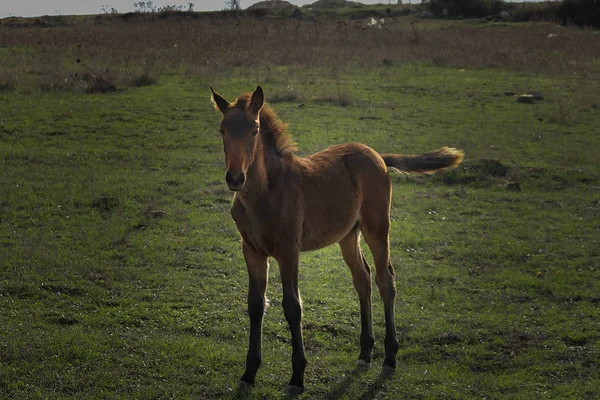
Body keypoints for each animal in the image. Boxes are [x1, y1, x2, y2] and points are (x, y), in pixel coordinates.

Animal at [210, 86, 464, 392]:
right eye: (223, 130)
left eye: (254, 130)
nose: (235, 178)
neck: (265, 193)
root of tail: (378, 155)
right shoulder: (251, 250)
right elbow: (256, 305)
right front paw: (249, 373)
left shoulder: (288, 250)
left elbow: (292, 306)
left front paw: (297, 376)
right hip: (348, 235)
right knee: (363, 277)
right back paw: (365, 353)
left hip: (377, 227)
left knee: (385, 279)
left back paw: (390, 358)